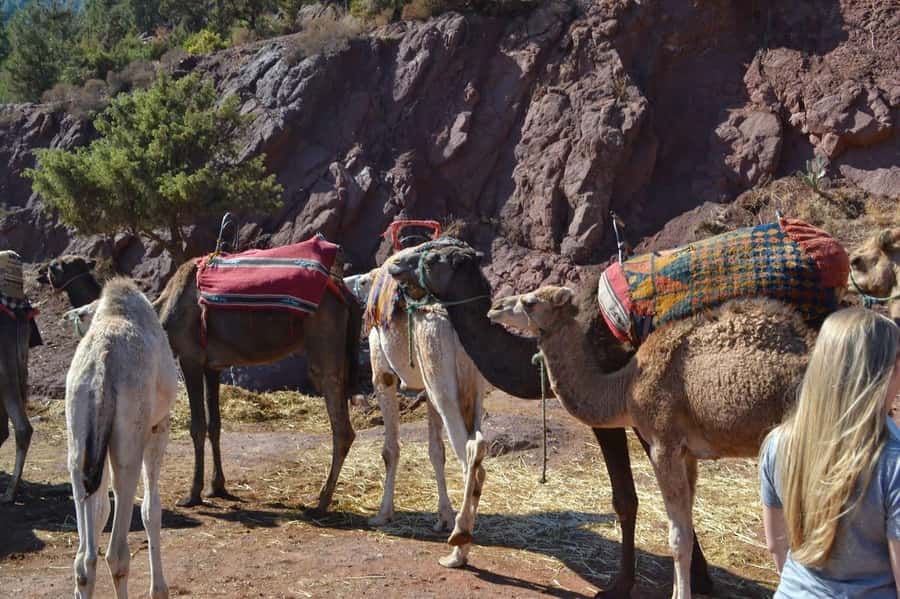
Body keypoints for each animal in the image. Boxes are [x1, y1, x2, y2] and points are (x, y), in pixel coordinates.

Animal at [40, 252, 363, 509]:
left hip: (324, 343)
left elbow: (196, 426)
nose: (43, 271)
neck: (161, 310)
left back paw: (322, 500)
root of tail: (346, 293)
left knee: (341, 426)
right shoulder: (213, 366)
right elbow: (215, 425)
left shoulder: (190, 358)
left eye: (59, 265)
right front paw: (217, 487)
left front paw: (192, 494)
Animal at [66, 278, 178, 599]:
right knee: (116, 553)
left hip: (78, 438)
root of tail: (102, 365)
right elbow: (151, 510)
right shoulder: (158, 426)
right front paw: (159, 589)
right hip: (130, 439)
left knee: (84, 560)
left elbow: (101, 510)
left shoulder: (95, 445)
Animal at [353, 250, 488, 569]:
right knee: (479, 444)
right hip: (470, 384)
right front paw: (442, 517)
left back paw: (458, 549)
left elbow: (390, 450)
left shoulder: (382, 373)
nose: (352, 282)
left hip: (442, 379)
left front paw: (382, 515)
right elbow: (436, 451)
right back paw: (459, 536)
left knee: (468, 451)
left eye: (363, 283)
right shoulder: (427, 388)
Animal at [387, 241, 714, 597]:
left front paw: (621, 585)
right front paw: (700, 577)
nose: (394, 265)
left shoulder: (624, 412)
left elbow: (627, 499)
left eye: (433, 259)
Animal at [487, 286, 814, 599]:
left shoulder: (663, 444)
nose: (494, 306)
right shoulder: (687, 454)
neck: (626, 387)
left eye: (530, 302)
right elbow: (686, 526)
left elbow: (678, 537)